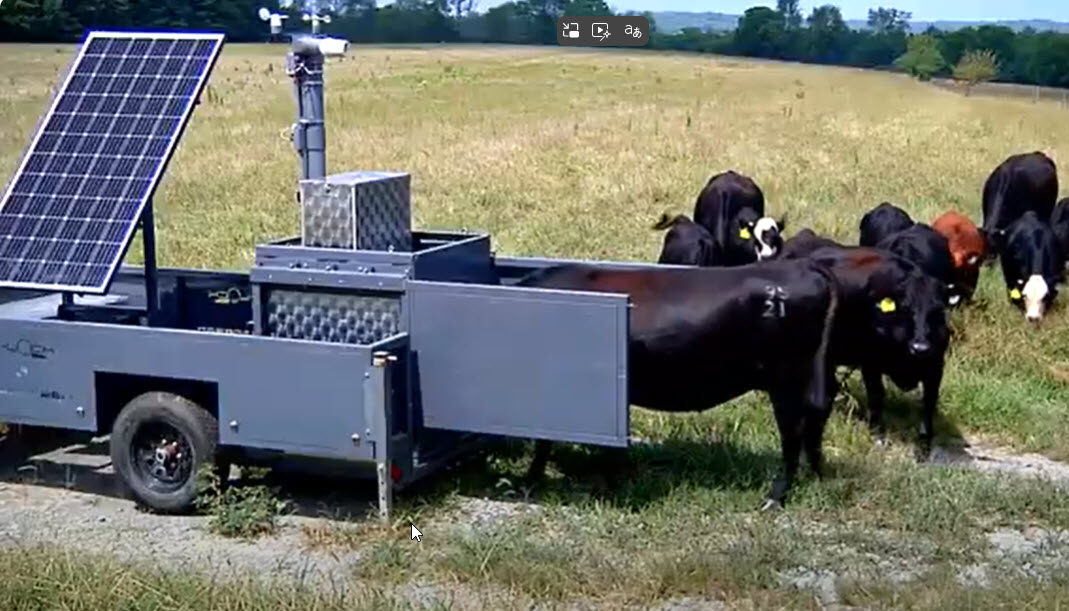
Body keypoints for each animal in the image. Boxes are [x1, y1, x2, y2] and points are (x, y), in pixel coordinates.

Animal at [518, 260, 840, 509]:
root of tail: (799, 266)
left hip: (785, 377)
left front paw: (532, 480)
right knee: (817, 412)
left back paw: (776, 496)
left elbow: (546, 436)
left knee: (793, 430)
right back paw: (816, 475)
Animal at [780, 236, 950, 457]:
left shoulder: (935, 367)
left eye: (938, 310)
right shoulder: (871, 362)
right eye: (906, 307)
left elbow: (928, 404)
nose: (920, 347)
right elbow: (877, 396)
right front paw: (878, 435)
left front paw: (923, 447)